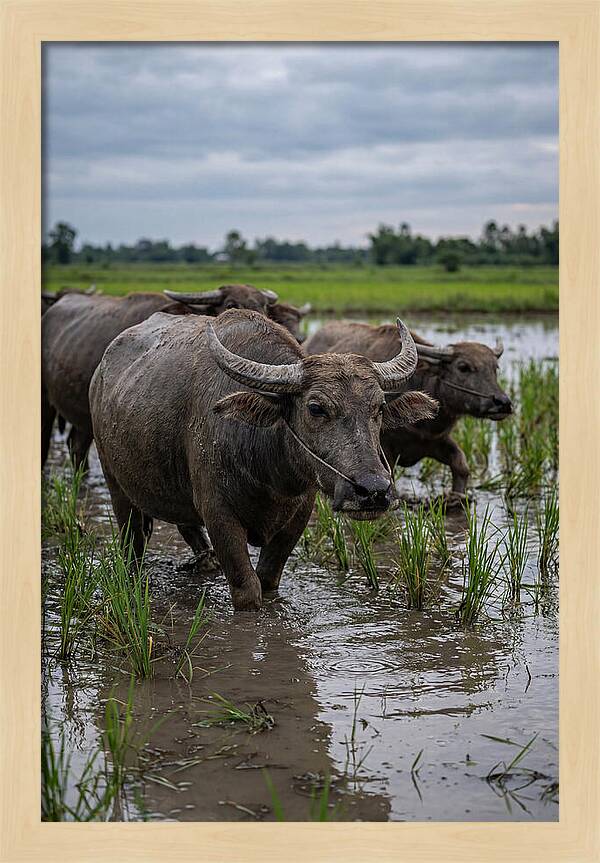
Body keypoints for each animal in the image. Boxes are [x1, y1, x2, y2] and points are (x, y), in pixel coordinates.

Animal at [89, 310, 437, 610]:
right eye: (316, 408)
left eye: (379, 407)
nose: (373, 490)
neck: (269, 473)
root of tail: (100, 374)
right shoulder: (219, 515)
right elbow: (248, 591)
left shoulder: (298, 516)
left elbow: (268, 581)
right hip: (115, 483)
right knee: (132, 542)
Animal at [305, 320, 512, 499]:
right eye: (463, 367)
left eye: (495, 368)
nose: (503, 403)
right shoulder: (384, 450)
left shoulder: (436, 441)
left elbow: (461, 465)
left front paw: (457, 497)